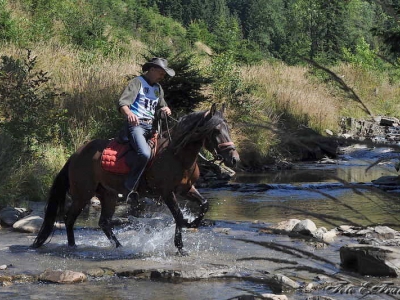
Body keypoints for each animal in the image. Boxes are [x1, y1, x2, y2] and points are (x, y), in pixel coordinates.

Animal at [32, 103, 241, 255]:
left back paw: (119, 247)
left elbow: (204, 204)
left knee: (104, 223)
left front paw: (194, 224)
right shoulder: (167, 192)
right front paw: (181, 247)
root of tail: (75, 155)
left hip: (108, 195)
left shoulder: (186, 189)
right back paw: (73, 246)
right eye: (215, 131)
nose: (234, 159)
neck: (177, 156)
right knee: (70, 218)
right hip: (83, 193)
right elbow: (178, 216)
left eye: (228, 128)